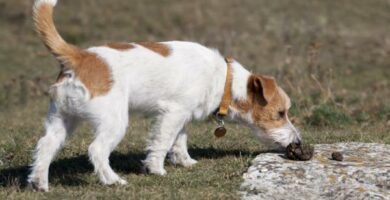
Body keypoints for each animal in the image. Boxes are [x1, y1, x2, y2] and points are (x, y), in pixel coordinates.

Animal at [28, 0, 302, 191]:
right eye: (281, 113)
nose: (298, 142)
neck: (224, 80)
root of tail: (79, 56)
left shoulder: (182, 116)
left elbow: (179, 141)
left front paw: (185, 162)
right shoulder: (172, 114)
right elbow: (162, 142)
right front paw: (156, 169)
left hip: (62, 118)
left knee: (45, 145)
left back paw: (40, 182)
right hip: (114, 121)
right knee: (96, 150)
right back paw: (113, 180)